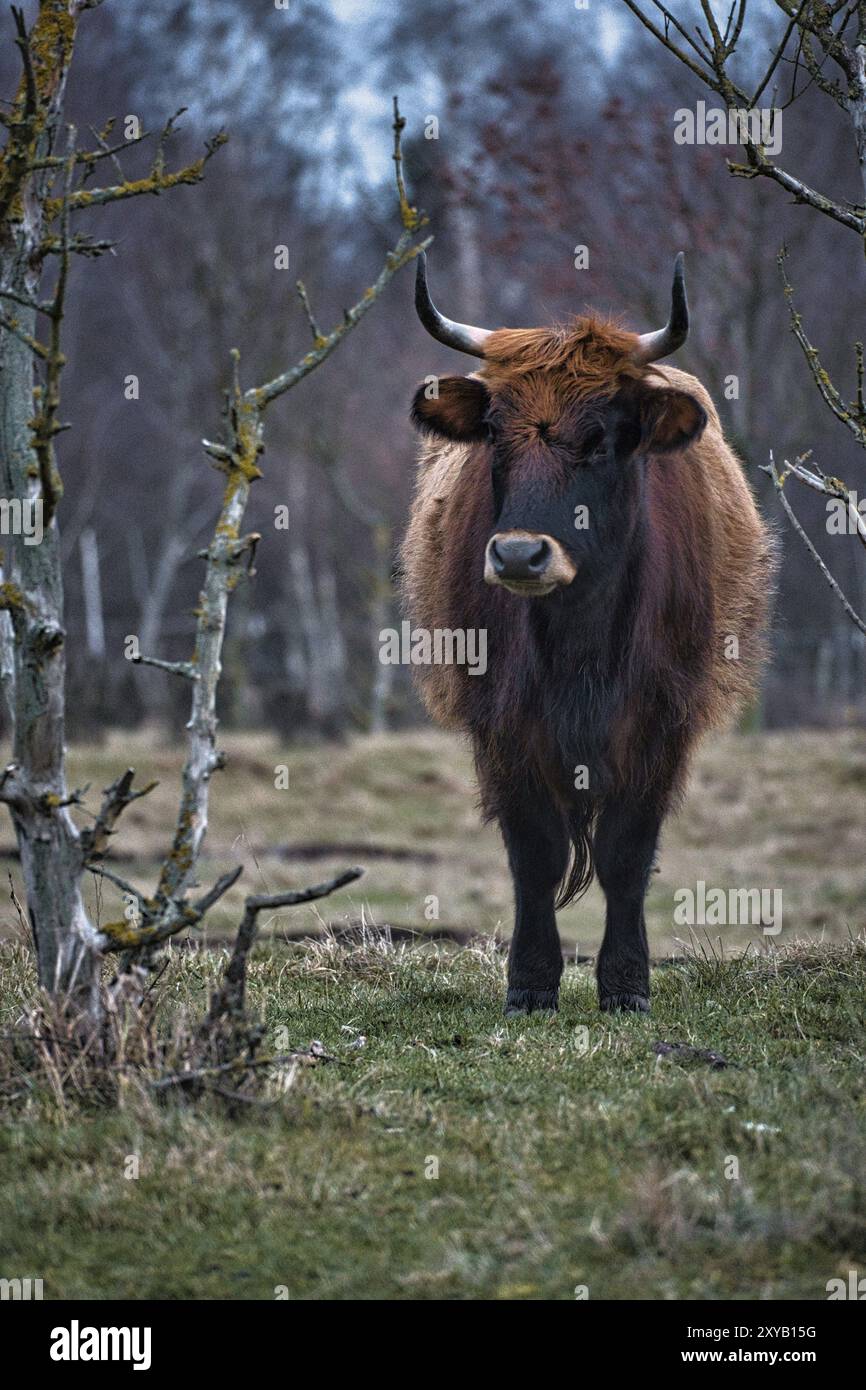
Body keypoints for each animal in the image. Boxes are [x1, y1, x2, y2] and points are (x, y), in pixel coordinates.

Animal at [403, 252, 778, 1011]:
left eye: (601, 438)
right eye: (495, 432)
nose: (520, 555)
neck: (579, 642)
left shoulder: (662, 721)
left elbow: (625, 856)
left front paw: (626, 984)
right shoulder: (502, 726)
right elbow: (536, 855)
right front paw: (531, 983)